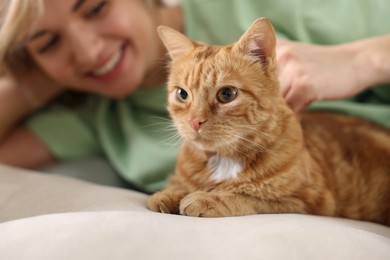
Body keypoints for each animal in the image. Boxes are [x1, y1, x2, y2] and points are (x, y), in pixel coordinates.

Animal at [147, 18, 390, 225]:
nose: (195, 121)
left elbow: (248, 196)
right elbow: (179, 184)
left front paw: (209, 197)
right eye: (182, 94)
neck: (224, 159)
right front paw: (171, 193)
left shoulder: (304, 202)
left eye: (226, 94)